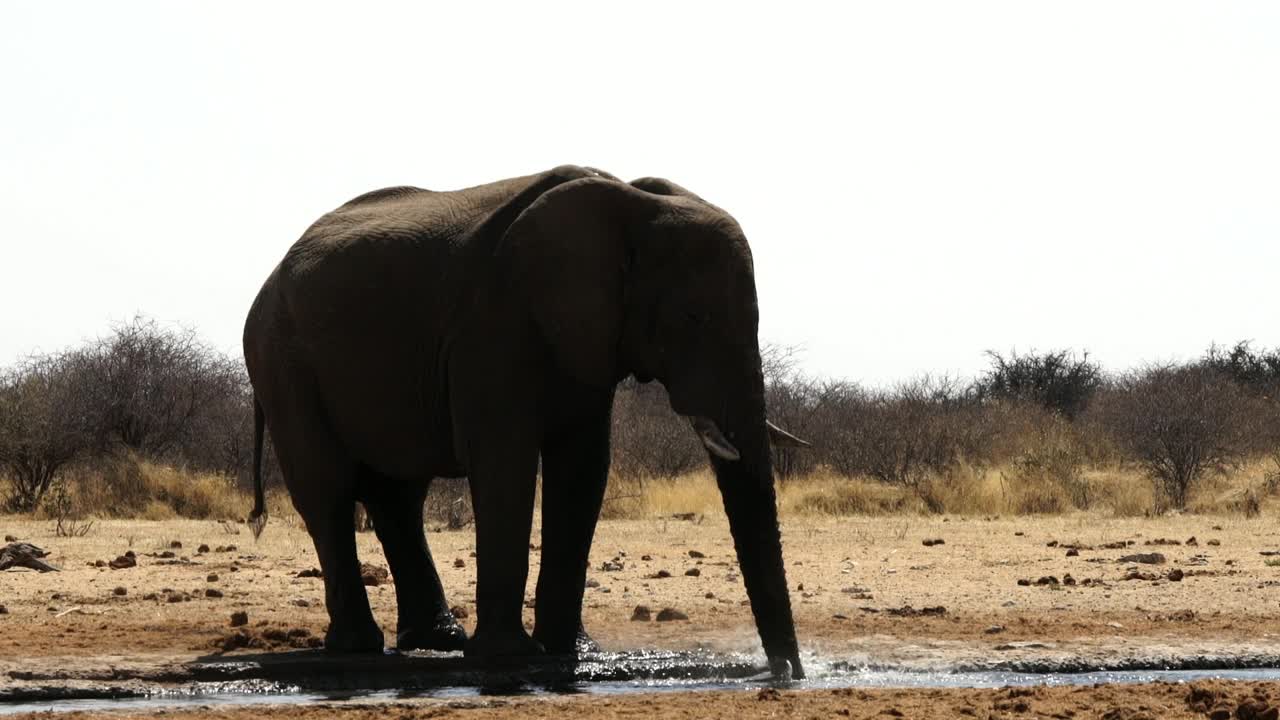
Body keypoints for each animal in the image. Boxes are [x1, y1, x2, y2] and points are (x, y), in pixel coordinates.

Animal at [241, 163, 808, 676]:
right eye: (692, 317)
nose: (787, 674)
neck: (629, 205)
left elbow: (583, 470)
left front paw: (571, 652)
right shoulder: (492, 325)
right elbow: (504, 461)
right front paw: (510, 658)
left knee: (399, 496)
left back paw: (439, 640)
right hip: (282, 362)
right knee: (328, 491)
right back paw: (359, 645)